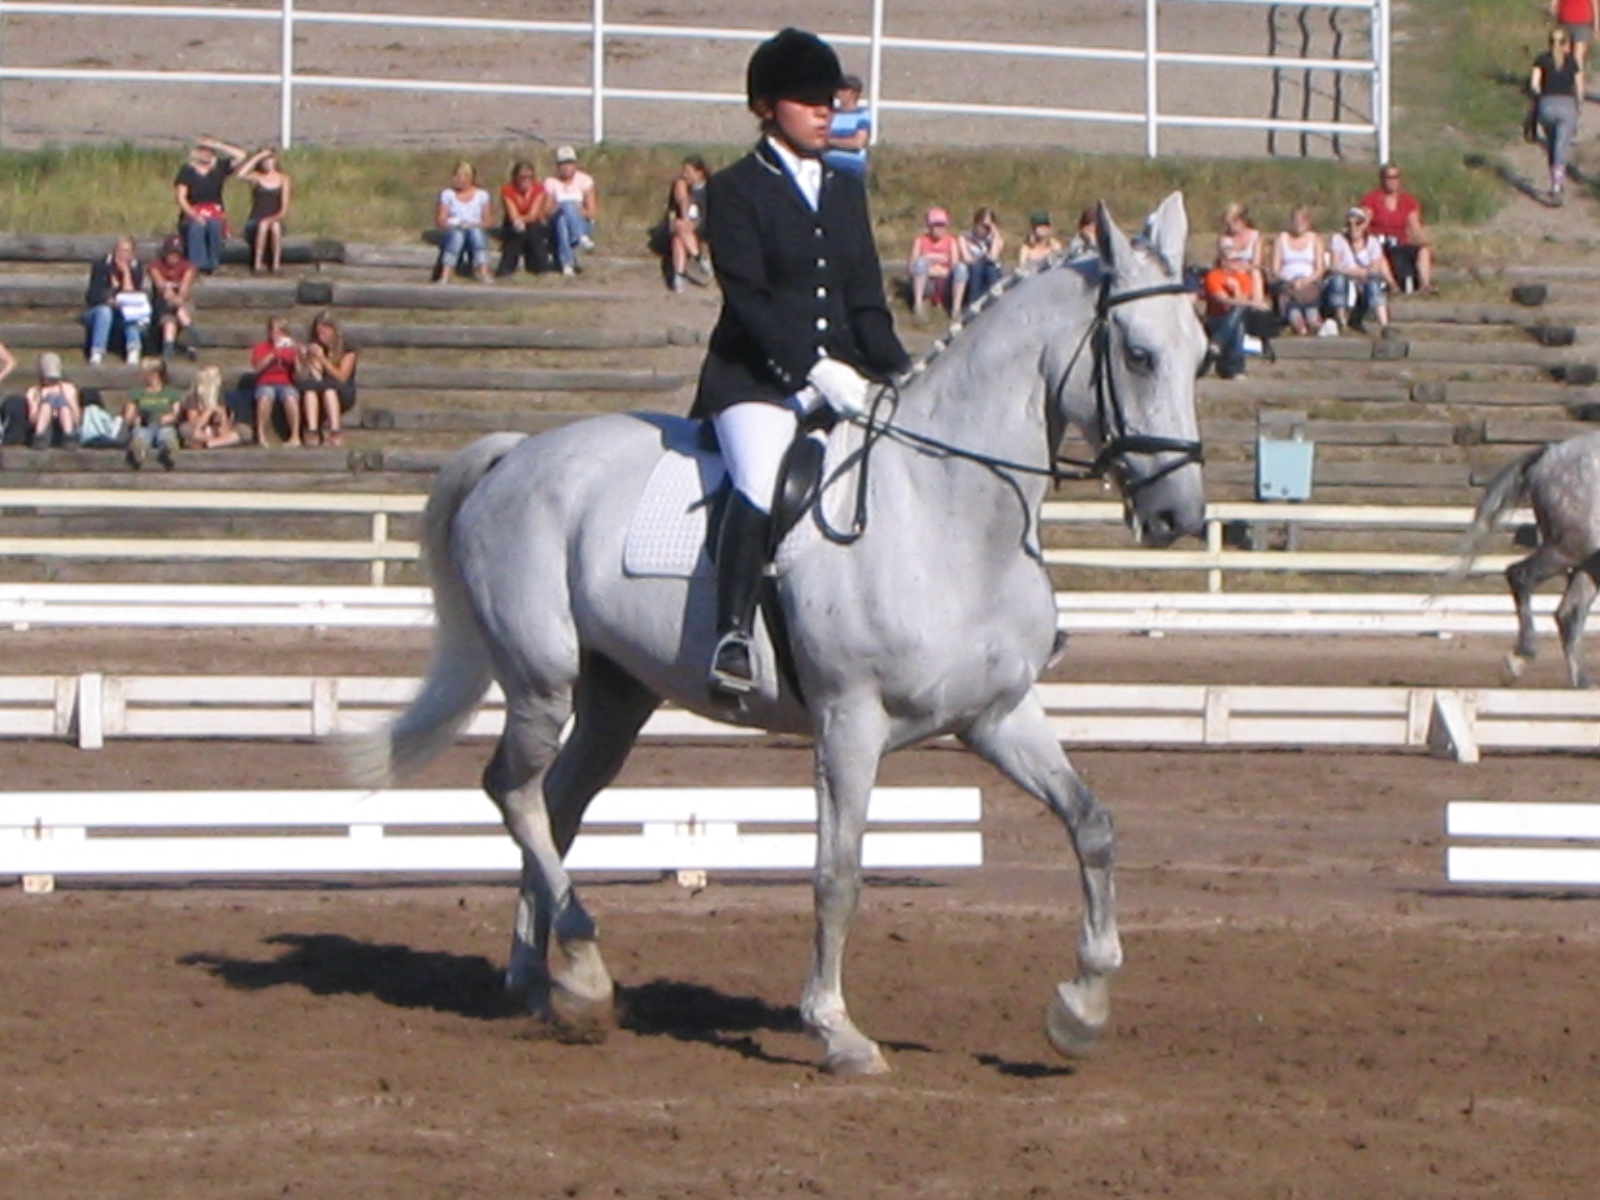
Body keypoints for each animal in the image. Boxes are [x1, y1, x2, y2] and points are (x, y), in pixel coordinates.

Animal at [351, 193, 1208, 1075]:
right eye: (1139, 355)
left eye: (1204, 356)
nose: (1178, 516)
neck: (947, 509)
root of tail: (515, 455)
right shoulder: (849, 720)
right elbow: (838, 871)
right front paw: (836, 1030)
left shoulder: (998, 714)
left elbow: (1092, 824)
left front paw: (1082, 1008)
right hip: (539, 678)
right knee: (515, 792)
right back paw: (583, 973)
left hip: (616, 698)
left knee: (555, 805)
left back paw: (540, 980)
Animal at [1453, 429, 1600, 688]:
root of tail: (1551, 453)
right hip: (1572, 548)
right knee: (1520, 575)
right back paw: (1523, 653)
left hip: (1587, 558)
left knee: (1570, 612)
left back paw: (1582, 683)